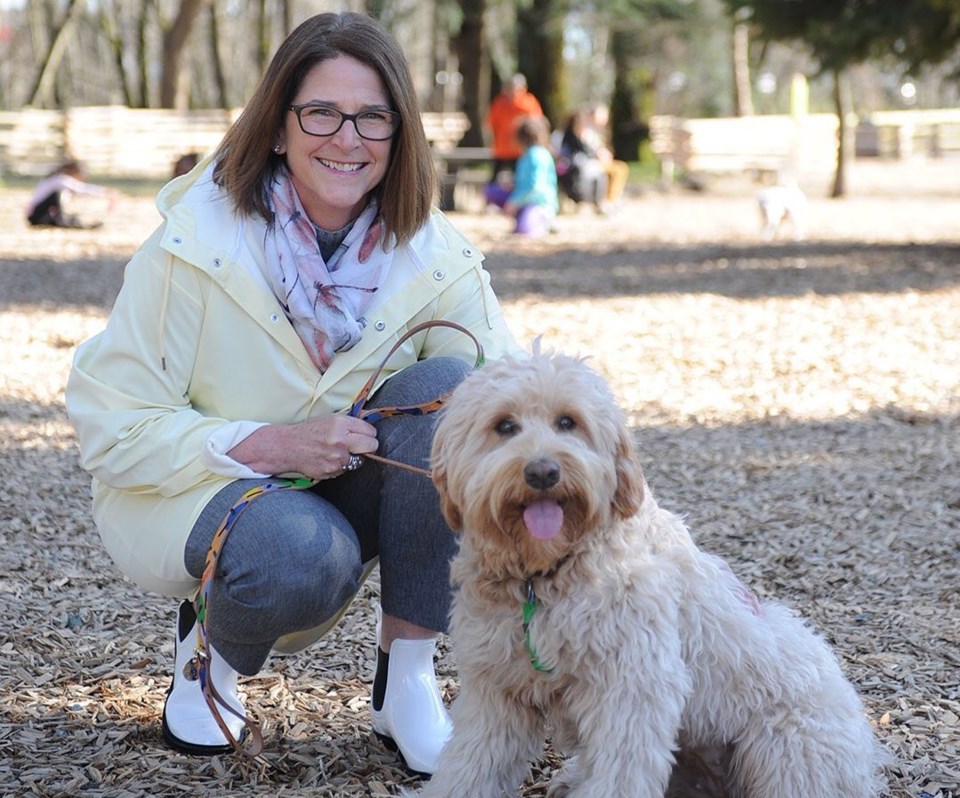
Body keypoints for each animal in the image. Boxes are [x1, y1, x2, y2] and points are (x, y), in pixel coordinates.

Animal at [416, 350, 888, 798]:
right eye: (504, 425)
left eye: (568, 422)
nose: (543, 471)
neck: (546, 573)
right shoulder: (498, 692)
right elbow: (469, 764)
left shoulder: (631, 688)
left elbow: (620, 774)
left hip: (786, 746)